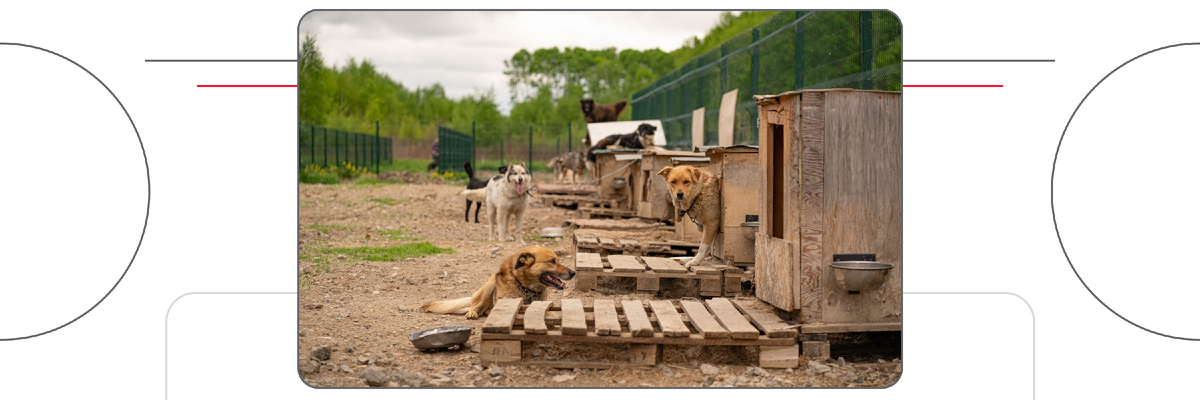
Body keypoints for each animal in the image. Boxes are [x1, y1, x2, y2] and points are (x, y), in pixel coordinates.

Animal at [420, 246, 573, 317]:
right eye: (552, 261)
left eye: (558, 259)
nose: (573, 273)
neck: (526, 288)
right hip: (490, 283)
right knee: (477, 306)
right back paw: (473, 312)